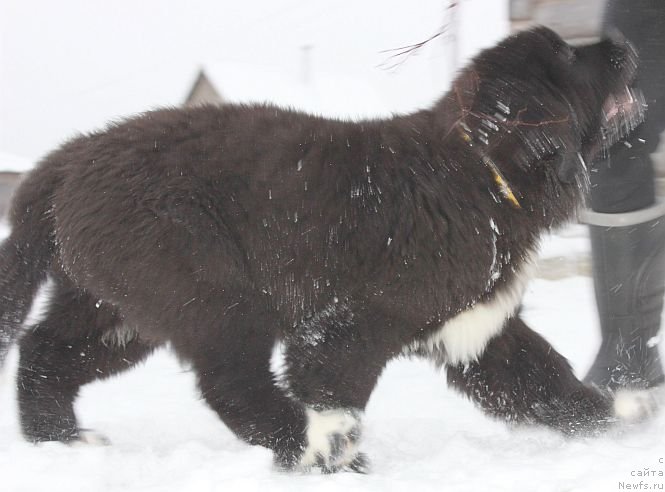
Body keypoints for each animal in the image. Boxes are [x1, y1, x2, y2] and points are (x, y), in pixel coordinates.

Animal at [0, 26, 652, 472]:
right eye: (566, 55)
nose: (624, 42)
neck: (481, 171)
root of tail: (67, 160)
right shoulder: (350, 321)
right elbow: (338, 389)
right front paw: (336, 444)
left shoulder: (478, 327)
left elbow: (545, 380)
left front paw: (617, 417)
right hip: (204, 288)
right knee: (231, 383)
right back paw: (318, 448)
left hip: (117, 308)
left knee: (43, 352)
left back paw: (60, 440)